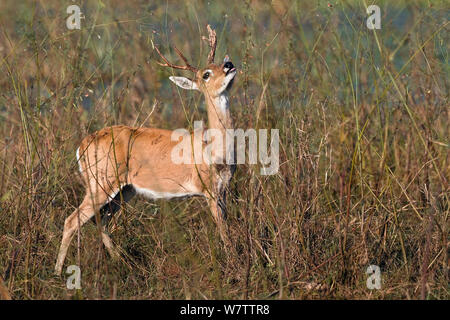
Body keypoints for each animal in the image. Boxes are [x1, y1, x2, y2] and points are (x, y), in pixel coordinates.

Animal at [55, 24, 237, 276]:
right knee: (72, 220)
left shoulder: (224, 190)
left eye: (221, 61)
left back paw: (124, 263)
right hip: (100, 184)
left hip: (124, 189)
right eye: (206, 74)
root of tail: (83, 144)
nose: (229, 65)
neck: (213, 147)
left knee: (102, 220)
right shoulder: (209, 191)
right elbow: (225, 234)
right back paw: (57, 272)